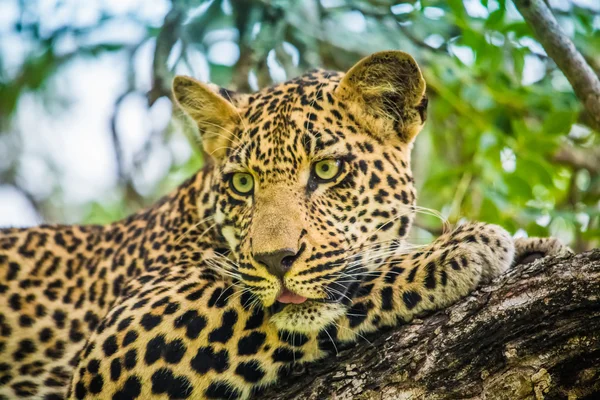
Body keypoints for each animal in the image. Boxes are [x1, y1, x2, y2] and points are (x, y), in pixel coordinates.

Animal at [0, 50, 568, 400]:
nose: (275, 260)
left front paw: (533, 243)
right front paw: (461, 246)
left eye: (326, 170)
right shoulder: (121, 336)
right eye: (243, 183)